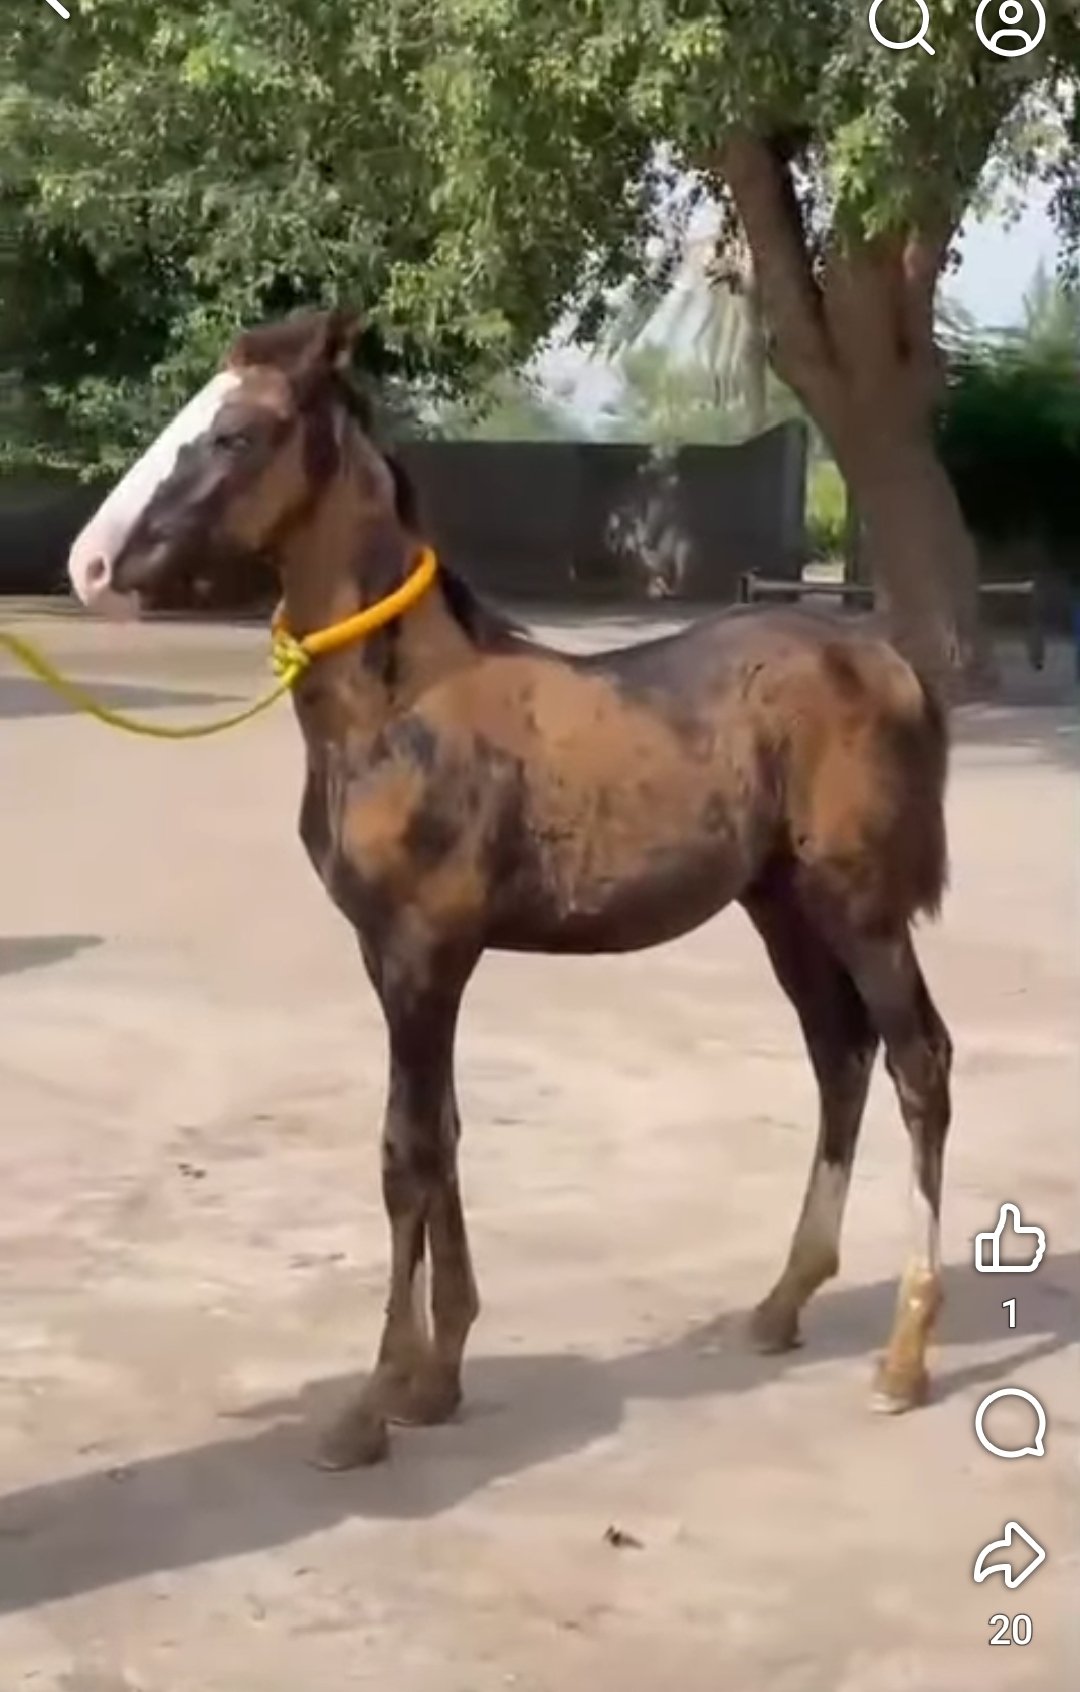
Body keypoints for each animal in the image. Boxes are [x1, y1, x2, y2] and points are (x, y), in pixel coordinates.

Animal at [67, 308, 953, 1470]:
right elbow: (440, 1136)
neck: (401, 705)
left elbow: (404, 1152)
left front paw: (368, 1408)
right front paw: (435, 1381)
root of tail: (886, 664)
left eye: (236, 436)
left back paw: (904, 1358)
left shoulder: (424, 953)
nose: (89, 565)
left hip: (862, 907)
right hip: (783, 907)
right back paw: (779, 1305)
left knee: (919, 1066)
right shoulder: (394, 958)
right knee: (839, 1059)